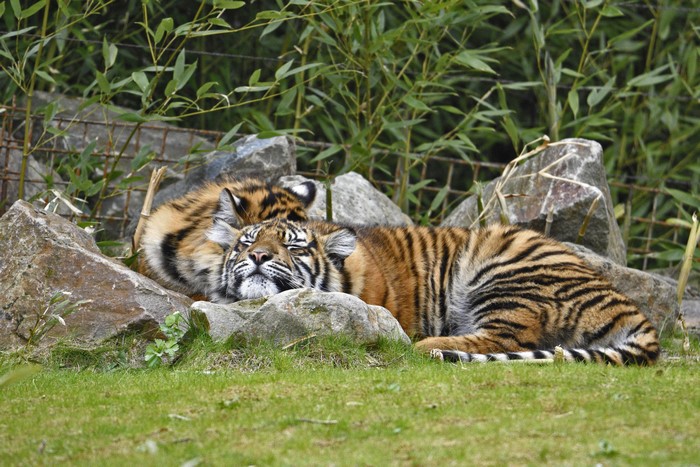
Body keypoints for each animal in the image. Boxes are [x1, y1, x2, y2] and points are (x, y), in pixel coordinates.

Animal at [204, 218, 660, 366]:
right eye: (246, 243)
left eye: (294, 247)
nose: (259, 256)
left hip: (501, 272)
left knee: (507, 338)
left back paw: (425, 345)